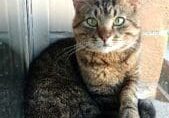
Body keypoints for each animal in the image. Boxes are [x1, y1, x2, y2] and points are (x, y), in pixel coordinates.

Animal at [24, 0, 156, 117]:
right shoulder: (102, 93)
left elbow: (129, 98)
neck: (112, 58)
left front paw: (133, 111)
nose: (105, 37)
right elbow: (114, 109)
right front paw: (144, 107)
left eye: (119, 20)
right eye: (91, 21)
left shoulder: (132, 77)